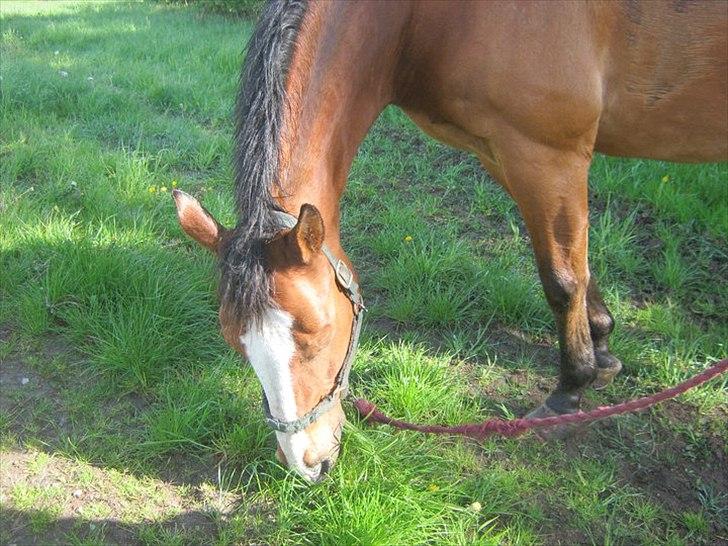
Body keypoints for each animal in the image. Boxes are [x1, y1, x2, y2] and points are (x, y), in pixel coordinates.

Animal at [172, 0, 728, 478]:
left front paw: (569, 392)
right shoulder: (505, 152)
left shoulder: (547, 154)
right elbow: (577, 262)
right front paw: (603, 349)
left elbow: (562, 278)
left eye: (319, 332)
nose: (306, 463)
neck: (430, 18)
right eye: (235, 342)